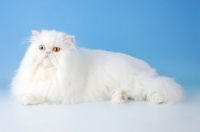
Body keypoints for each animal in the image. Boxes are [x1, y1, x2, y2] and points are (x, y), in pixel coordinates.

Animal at [10, 30, 183, 105]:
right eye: (41, 48)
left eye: (56, 50)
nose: (47, 52)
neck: (49, 73)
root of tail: (145, 67)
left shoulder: (56, 91)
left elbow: (35, 96)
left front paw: (27, 99)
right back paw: (119, 98)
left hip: (137, 83)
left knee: (152, 90)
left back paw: (158, 99)